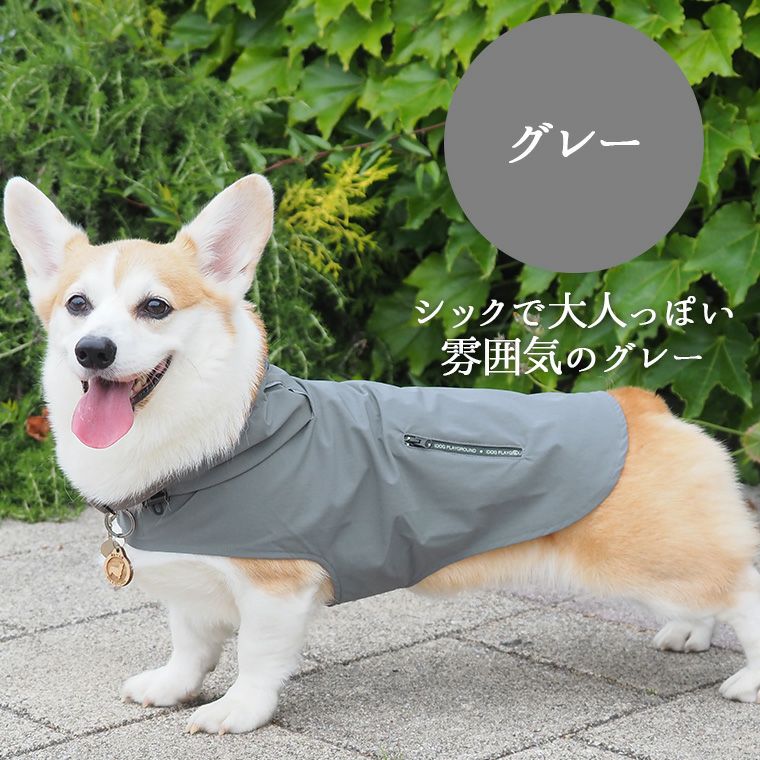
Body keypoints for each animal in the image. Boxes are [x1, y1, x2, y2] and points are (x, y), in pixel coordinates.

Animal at [5, 174, 760, 736]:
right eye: (77, 305)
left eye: (155, 308)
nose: (92, 351)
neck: (217, 436)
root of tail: (641, 404)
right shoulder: (193, 585)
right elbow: (191, 644)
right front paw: (171, 687)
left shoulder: (277, 587)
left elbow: (255, 659)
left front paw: (234, 713)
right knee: (704, 599)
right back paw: (685, 633)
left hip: (655, 553)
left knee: (743, 588)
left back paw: (747, 679)